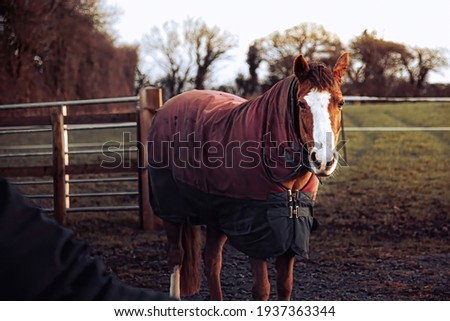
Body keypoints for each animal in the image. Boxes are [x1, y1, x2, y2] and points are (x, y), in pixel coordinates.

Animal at [146, 51, 350, 298]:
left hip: (218, 214)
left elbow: (285, 286)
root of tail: (166, 107)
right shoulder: (256, 235)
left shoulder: (290, 235)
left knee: (212, 261)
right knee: (177, 256)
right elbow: (262, 289)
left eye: (340, 103)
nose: (323, 160)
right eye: (301, 104)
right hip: (172, 211)